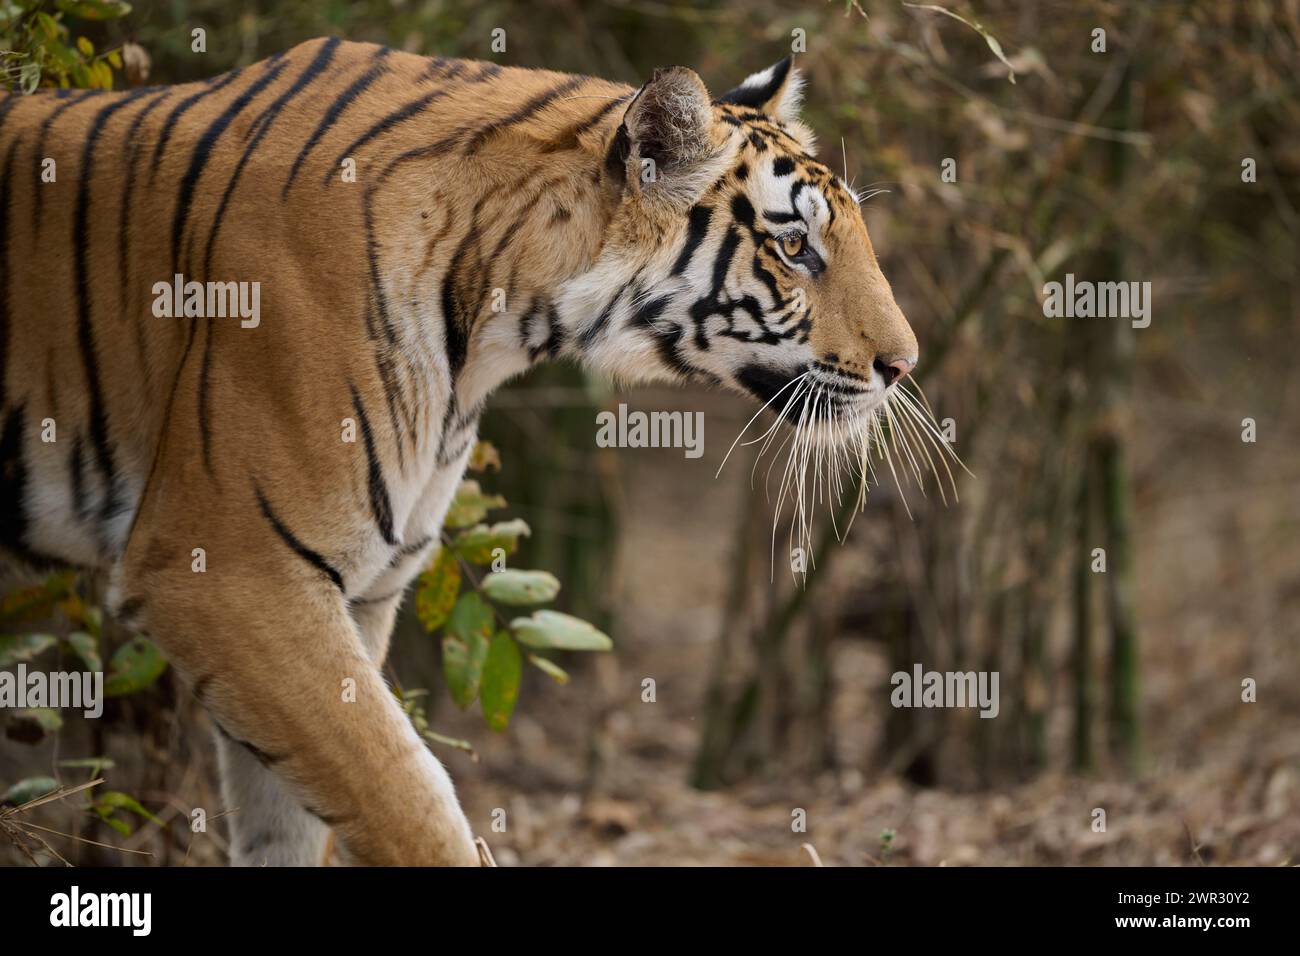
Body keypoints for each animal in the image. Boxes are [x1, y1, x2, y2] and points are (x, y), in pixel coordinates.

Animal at [0, 39, 920, 868]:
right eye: (795, 248)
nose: (904, 365)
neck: (496, 324)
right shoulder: (229, 570)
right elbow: (405, 801)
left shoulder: (355, 590)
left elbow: (294, 821)